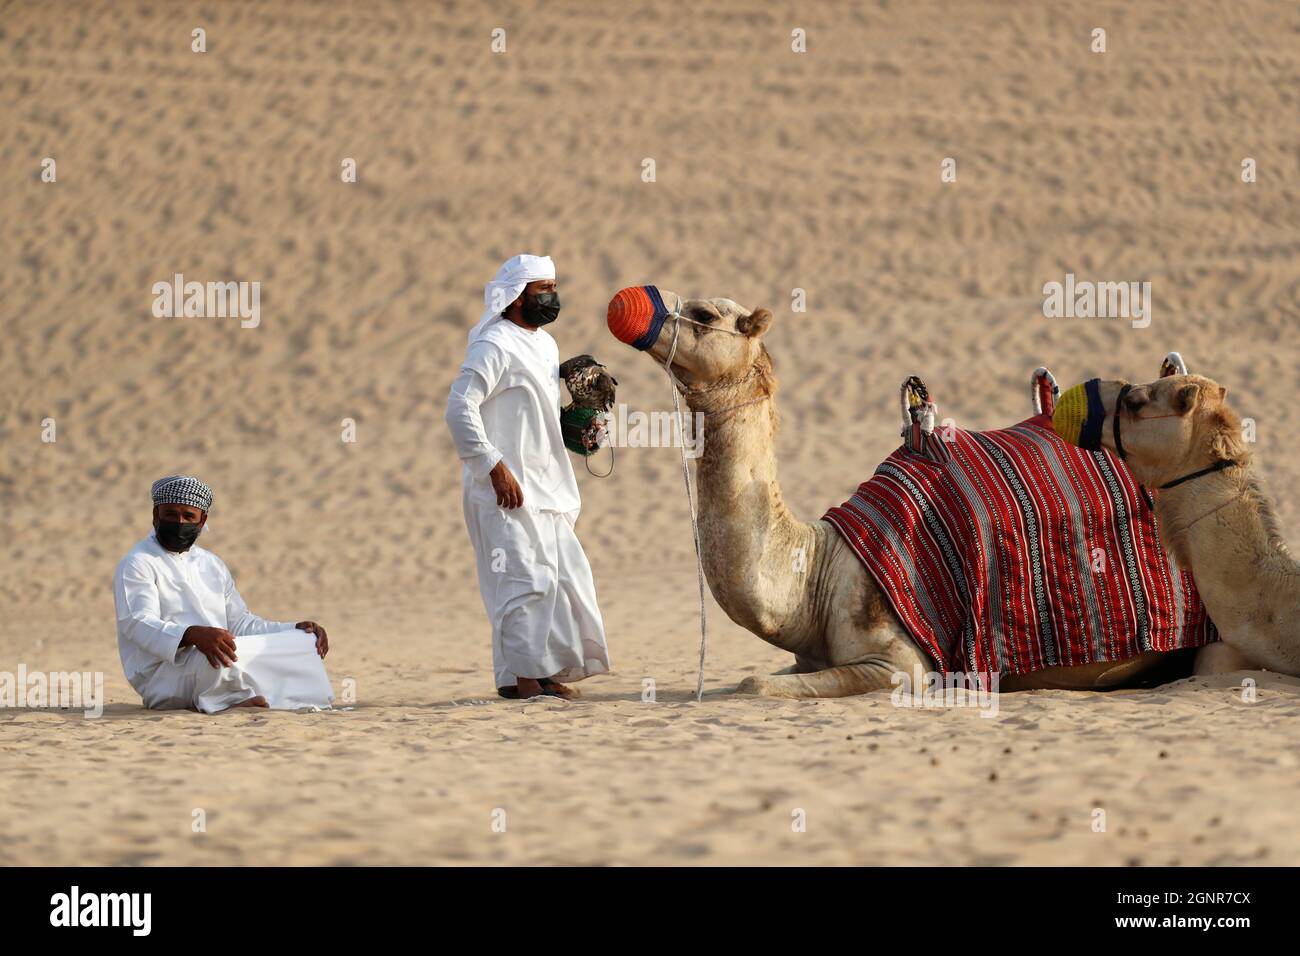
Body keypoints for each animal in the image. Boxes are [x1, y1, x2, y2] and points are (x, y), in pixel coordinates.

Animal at [618, 287, 1190, 697]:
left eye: (704, 313)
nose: (630, 306)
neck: (815, 573)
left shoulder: (903, 662)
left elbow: (752, 682)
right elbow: (759, 676)